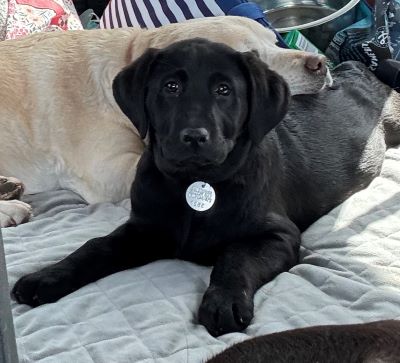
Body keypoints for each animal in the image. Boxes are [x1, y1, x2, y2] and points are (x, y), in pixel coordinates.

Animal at [10, 38, 398, 336]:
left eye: (224, 91)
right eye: (171, 87)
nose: (194, 137)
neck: (194, 183)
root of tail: (359, 67)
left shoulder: (279, 235)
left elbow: (235, 256)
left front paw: (224, 302)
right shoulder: (143, 229)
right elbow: (94, 247)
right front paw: (46, 276)